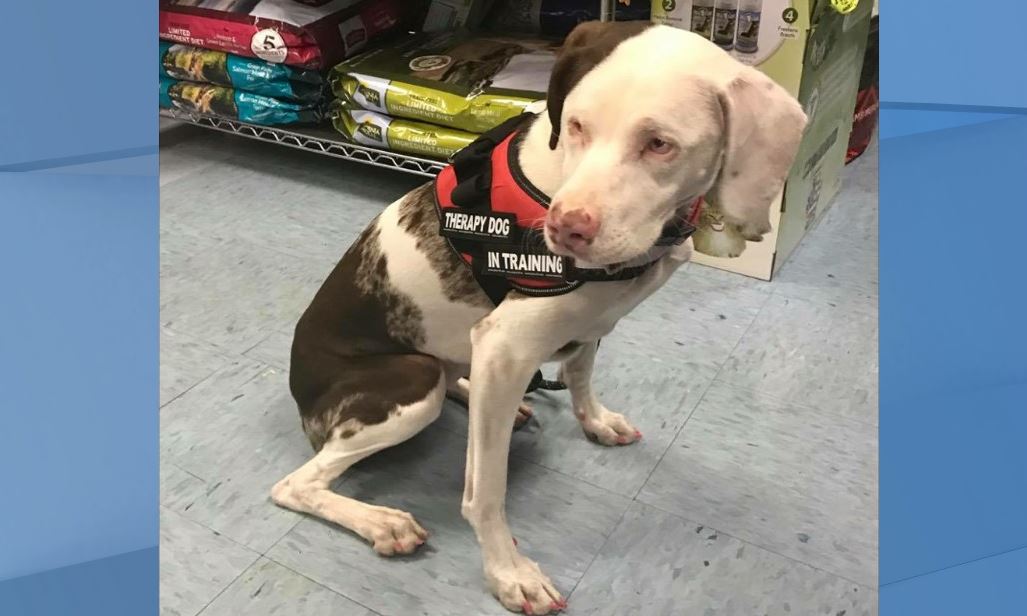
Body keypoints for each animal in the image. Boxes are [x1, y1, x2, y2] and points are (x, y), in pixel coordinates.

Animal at [271, 21, 809, 611]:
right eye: (576, 124)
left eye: (659, 143)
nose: (565, 228)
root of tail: (299, 386)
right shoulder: (505, 346)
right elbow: (486, 491)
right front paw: (508, 572)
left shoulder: (582, 328)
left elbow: (579, 373)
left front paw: (595, 420)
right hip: (410, 384)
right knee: (297, 484)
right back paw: (381, 522)